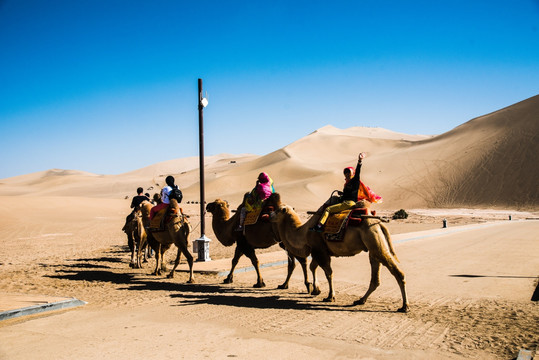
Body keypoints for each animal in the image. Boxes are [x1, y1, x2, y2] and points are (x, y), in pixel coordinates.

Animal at [268, 193, 412, 314]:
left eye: (278, 210)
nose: (269, 215)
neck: (303, 232)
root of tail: (378, 223)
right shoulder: (318, 250)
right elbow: (313, 267)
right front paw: (316, 289)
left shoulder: (319, 250)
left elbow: (328, 273)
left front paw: (330, 296)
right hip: (373, 247)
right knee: (375, 278)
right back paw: (360, 300)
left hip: (374, 241)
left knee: (397, 272)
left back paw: (405, 306)